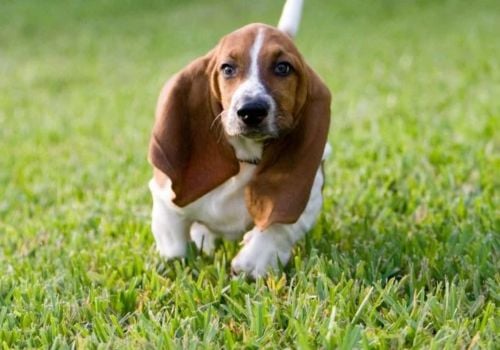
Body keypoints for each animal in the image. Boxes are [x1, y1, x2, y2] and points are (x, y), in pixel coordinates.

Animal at [146, 0, 330, 278]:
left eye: (283, 68)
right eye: (227, 68)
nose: (251, 111)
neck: (245, 158)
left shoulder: (308, 199)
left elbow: (279, 227)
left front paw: (251, 261)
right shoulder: (165, 198)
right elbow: (174, 246)